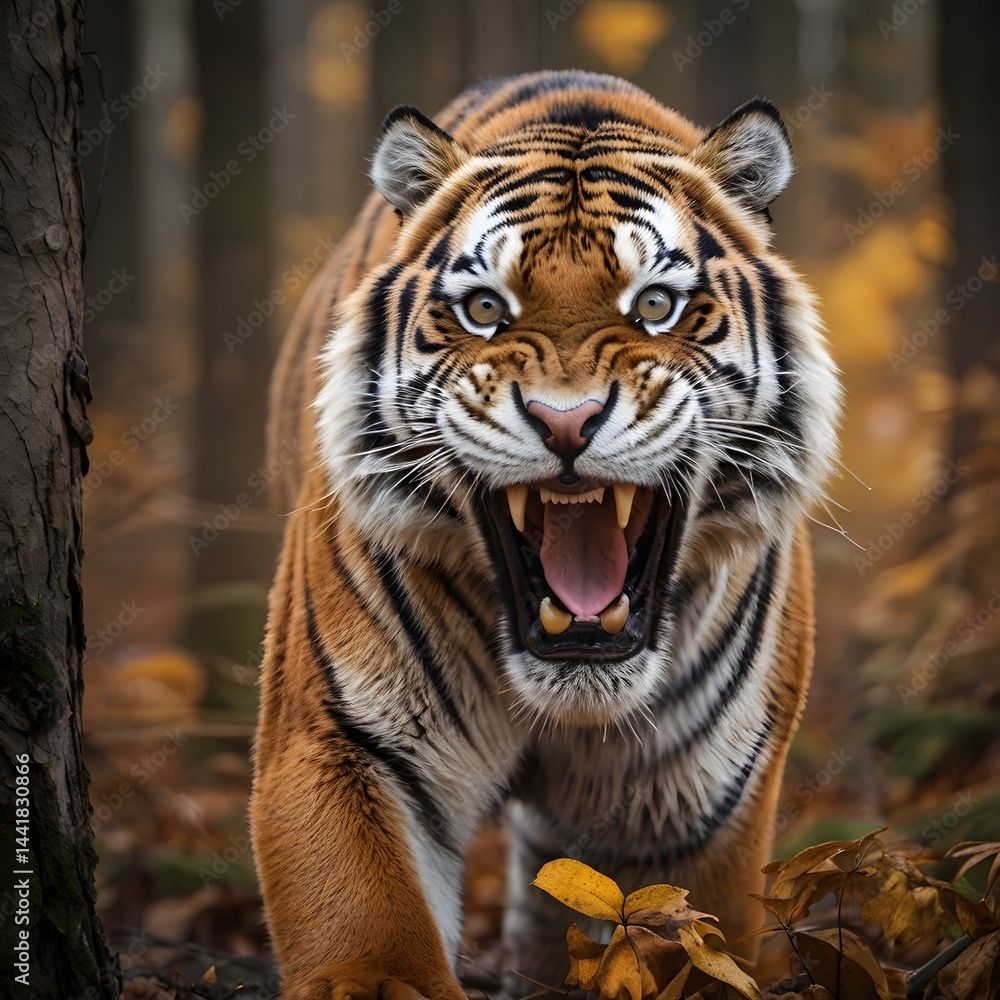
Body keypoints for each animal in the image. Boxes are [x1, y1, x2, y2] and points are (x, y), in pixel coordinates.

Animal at [250, 69, 841, 1000]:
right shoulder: (340, 744)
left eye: (658, 305)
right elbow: (374, 941)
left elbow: (694, 948)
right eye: (486, 308)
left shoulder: (700, 804)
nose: (566, 422)